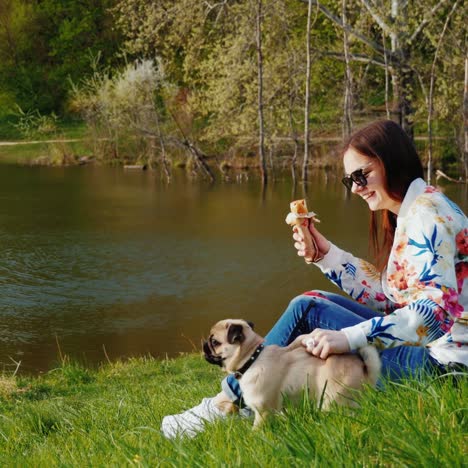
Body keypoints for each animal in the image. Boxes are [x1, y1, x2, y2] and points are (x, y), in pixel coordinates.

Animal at [203, 320, 382, 426]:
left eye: (215, 342)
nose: (204, 344)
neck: (252, 358)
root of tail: (366, 371)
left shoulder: (263, 411)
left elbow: (258, 428)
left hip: (334, 400)